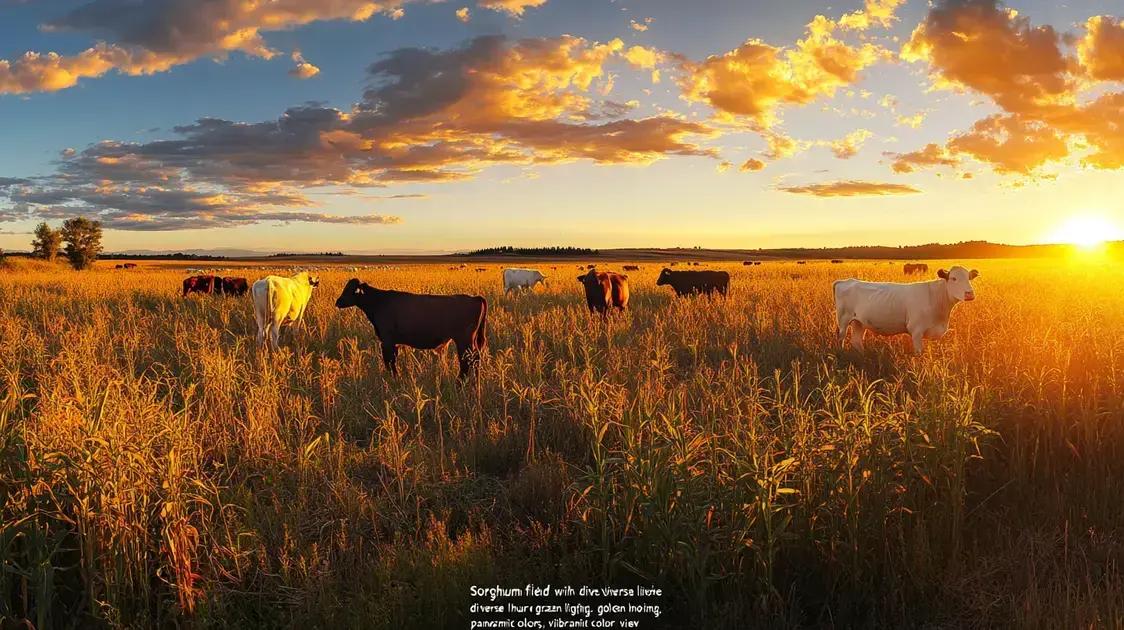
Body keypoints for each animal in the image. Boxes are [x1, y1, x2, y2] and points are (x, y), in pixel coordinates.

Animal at [334, 279, 490, 378]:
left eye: (350, 290)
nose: (338, 302)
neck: (379, 302)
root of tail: (475, 298)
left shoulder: (387, 341)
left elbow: (389, 362)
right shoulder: (394, 343)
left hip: (464, 341)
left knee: (468, 361)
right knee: (475, 360)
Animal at [831, 264, 980, 355]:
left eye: (969, 278)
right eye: (954, 278)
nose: (969, 294)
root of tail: (845, 281)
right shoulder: (916, 331)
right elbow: (919, 354)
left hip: (859, 322)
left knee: (856, 341)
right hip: (843, 320)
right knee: (841, 337)